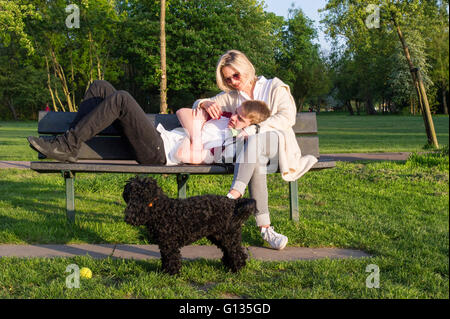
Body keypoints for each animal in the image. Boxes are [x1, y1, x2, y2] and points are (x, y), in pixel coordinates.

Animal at [122, 176, 256, 276]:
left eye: (132, 190)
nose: (124, 191)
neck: (158, 208)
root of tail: (233, 204)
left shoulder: (169, 244)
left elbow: (171, 258)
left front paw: (171, 274)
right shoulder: (164, 244)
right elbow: (165, 258)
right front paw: (164, 272)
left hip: (228, 236)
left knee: (237, 252)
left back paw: (237, 269)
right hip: (220, 236)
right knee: (230, 251)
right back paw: (229, 267)